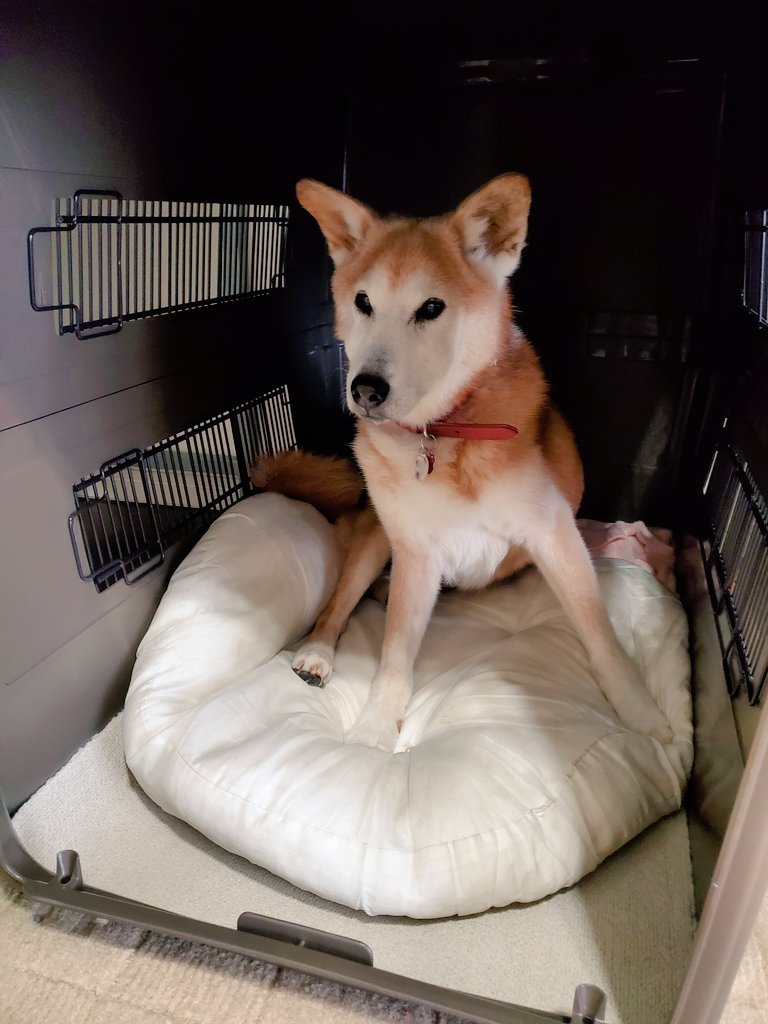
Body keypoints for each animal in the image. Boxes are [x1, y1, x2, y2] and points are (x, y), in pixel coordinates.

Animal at [263, 174, 672, 751]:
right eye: (363, 301)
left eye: (431, 308)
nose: (364, 389)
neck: (443, 432)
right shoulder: (414, 551)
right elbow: (394, 655)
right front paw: (374, 724)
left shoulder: (554, 533)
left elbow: (600, 634)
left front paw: (639, 710)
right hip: (376, 538)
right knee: (337, 605)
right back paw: (319, 651)